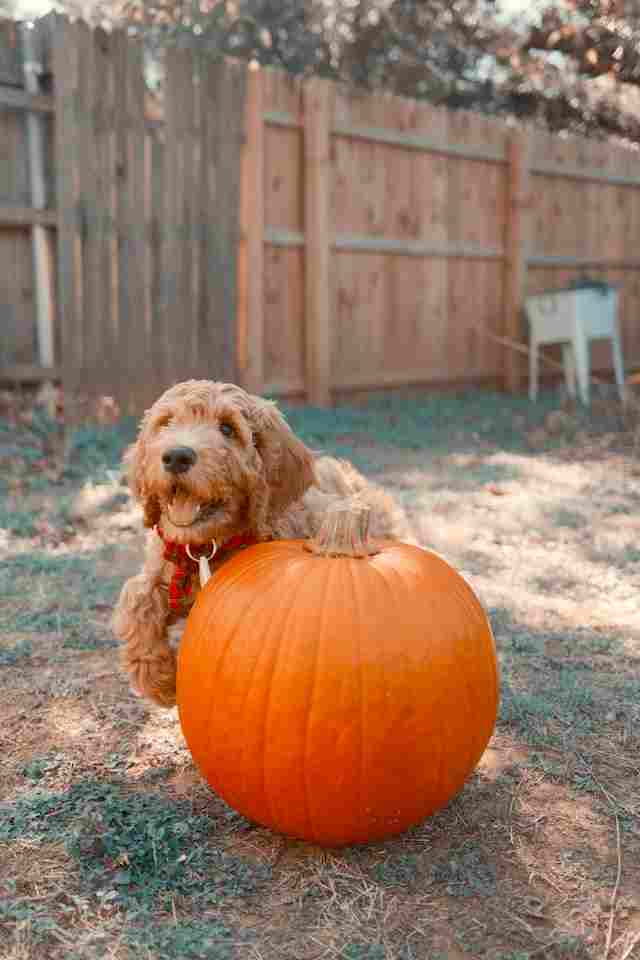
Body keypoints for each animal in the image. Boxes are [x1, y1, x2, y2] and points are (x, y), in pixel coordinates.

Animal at [112, 378, 408, 708]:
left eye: (227, 428)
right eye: (166, 423)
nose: (176, 457)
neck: (205, 548)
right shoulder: (161, 568)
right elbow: (136, 598)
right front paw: (159, 678)